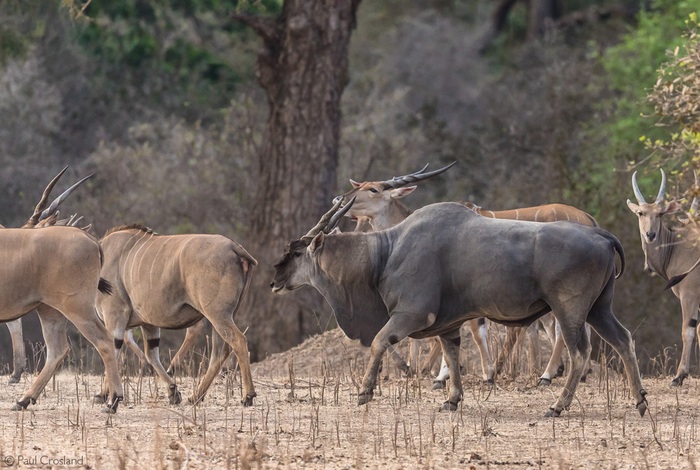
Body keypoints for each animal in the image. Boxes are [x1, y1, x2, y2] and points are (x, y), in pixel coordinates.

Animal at [93, 226, 258, 406]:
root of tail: (234, 247)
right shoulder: (148, 323)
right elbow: (151, 354)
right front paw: (173, 392)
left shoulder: (114, 315)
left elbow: (111, 350)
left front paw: (103, 394)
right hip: (224, 316)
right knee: (220, 352)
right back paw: (195, 396)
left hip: (217, 314)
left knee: (238, 341)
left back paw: (248, 395)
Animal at [270, 200, 648, 416]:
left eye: (298, 252)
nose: (274, 280)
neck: (385, 252)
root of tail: (602, 236)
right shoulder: (448, 326)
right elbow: (452, 357)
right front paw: (452, 400)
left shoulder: (410, 315)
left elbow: (378, 342)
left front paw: (365, 392)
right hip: (599, 310)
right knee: (624, 339)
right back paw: (640, 400)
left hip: (569, 311)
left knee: (580, 352)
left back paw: (557, 406)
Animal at [628, 169, 700, 386]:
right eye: (641, 213)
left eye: (659, 214)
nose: (650, 234)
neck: (676, 247)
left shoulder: (689, 295)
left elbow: (688, 331)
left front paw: (679, 376)